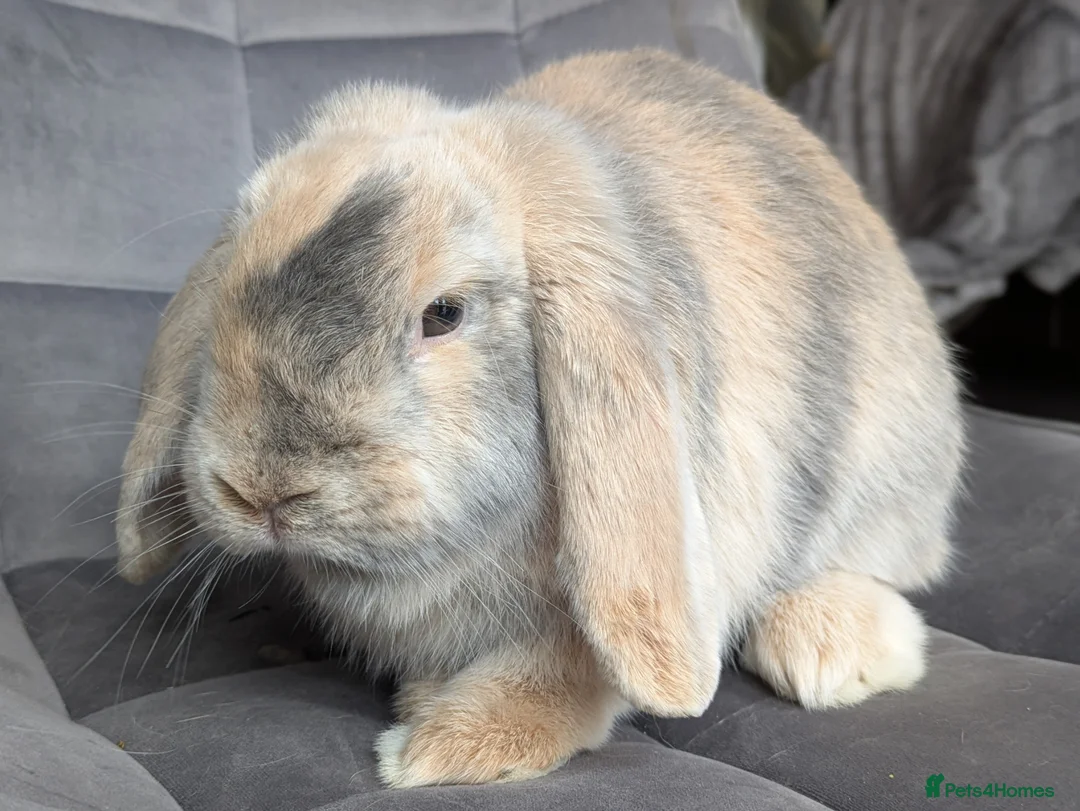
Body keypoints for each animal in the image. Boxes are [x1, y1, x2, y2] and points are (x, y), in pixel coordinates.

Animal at [115, 48, 964, 788]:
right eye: (231, 278)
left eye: (444, 313)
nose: (263, 491)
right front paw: (427, 700)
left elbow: (575, 672)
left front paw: (442, 746)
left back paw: (826, 651)